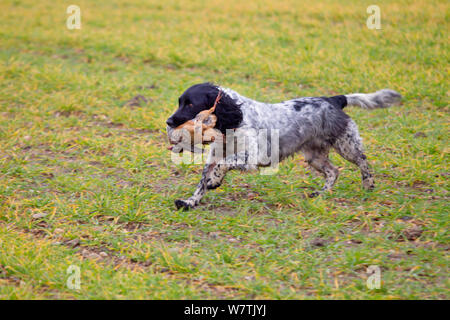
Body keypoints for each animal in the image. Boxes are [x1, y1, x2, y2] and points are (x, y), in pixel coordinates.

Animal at [165, 82, 400, 210]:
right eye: (180, 102)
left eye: (191, 104)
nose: (168, 121)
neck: (232, 119)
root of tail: (333, 99)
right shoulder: (213, 158)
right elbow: (202, 182)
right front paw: (190, 202)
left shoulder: (251, 157)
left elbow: (225, 164)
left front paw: (215, 181)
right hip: (314, 155)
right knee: (334, 171)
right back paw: (321, 193)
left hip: (346, 144)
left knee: (362, 162)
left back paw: (368, 184)